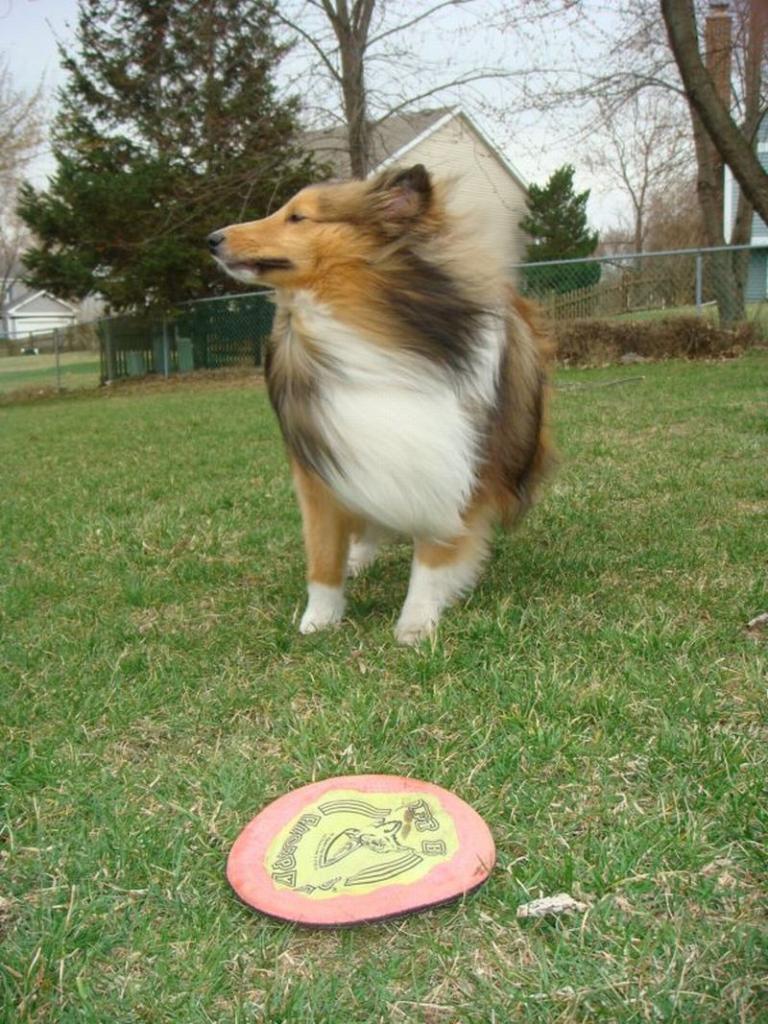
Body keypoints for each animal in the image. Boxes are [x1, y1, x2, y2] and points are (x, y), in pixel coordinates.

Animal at [210, 163, 552, 643]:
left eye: (297, 217)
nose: (212, 238)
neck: (362, 328)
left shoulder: (453, 461)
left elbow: (433, 554)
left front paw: (415, 622)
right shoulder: (323, 464)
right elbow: (322, 553)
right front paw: (320, 617)